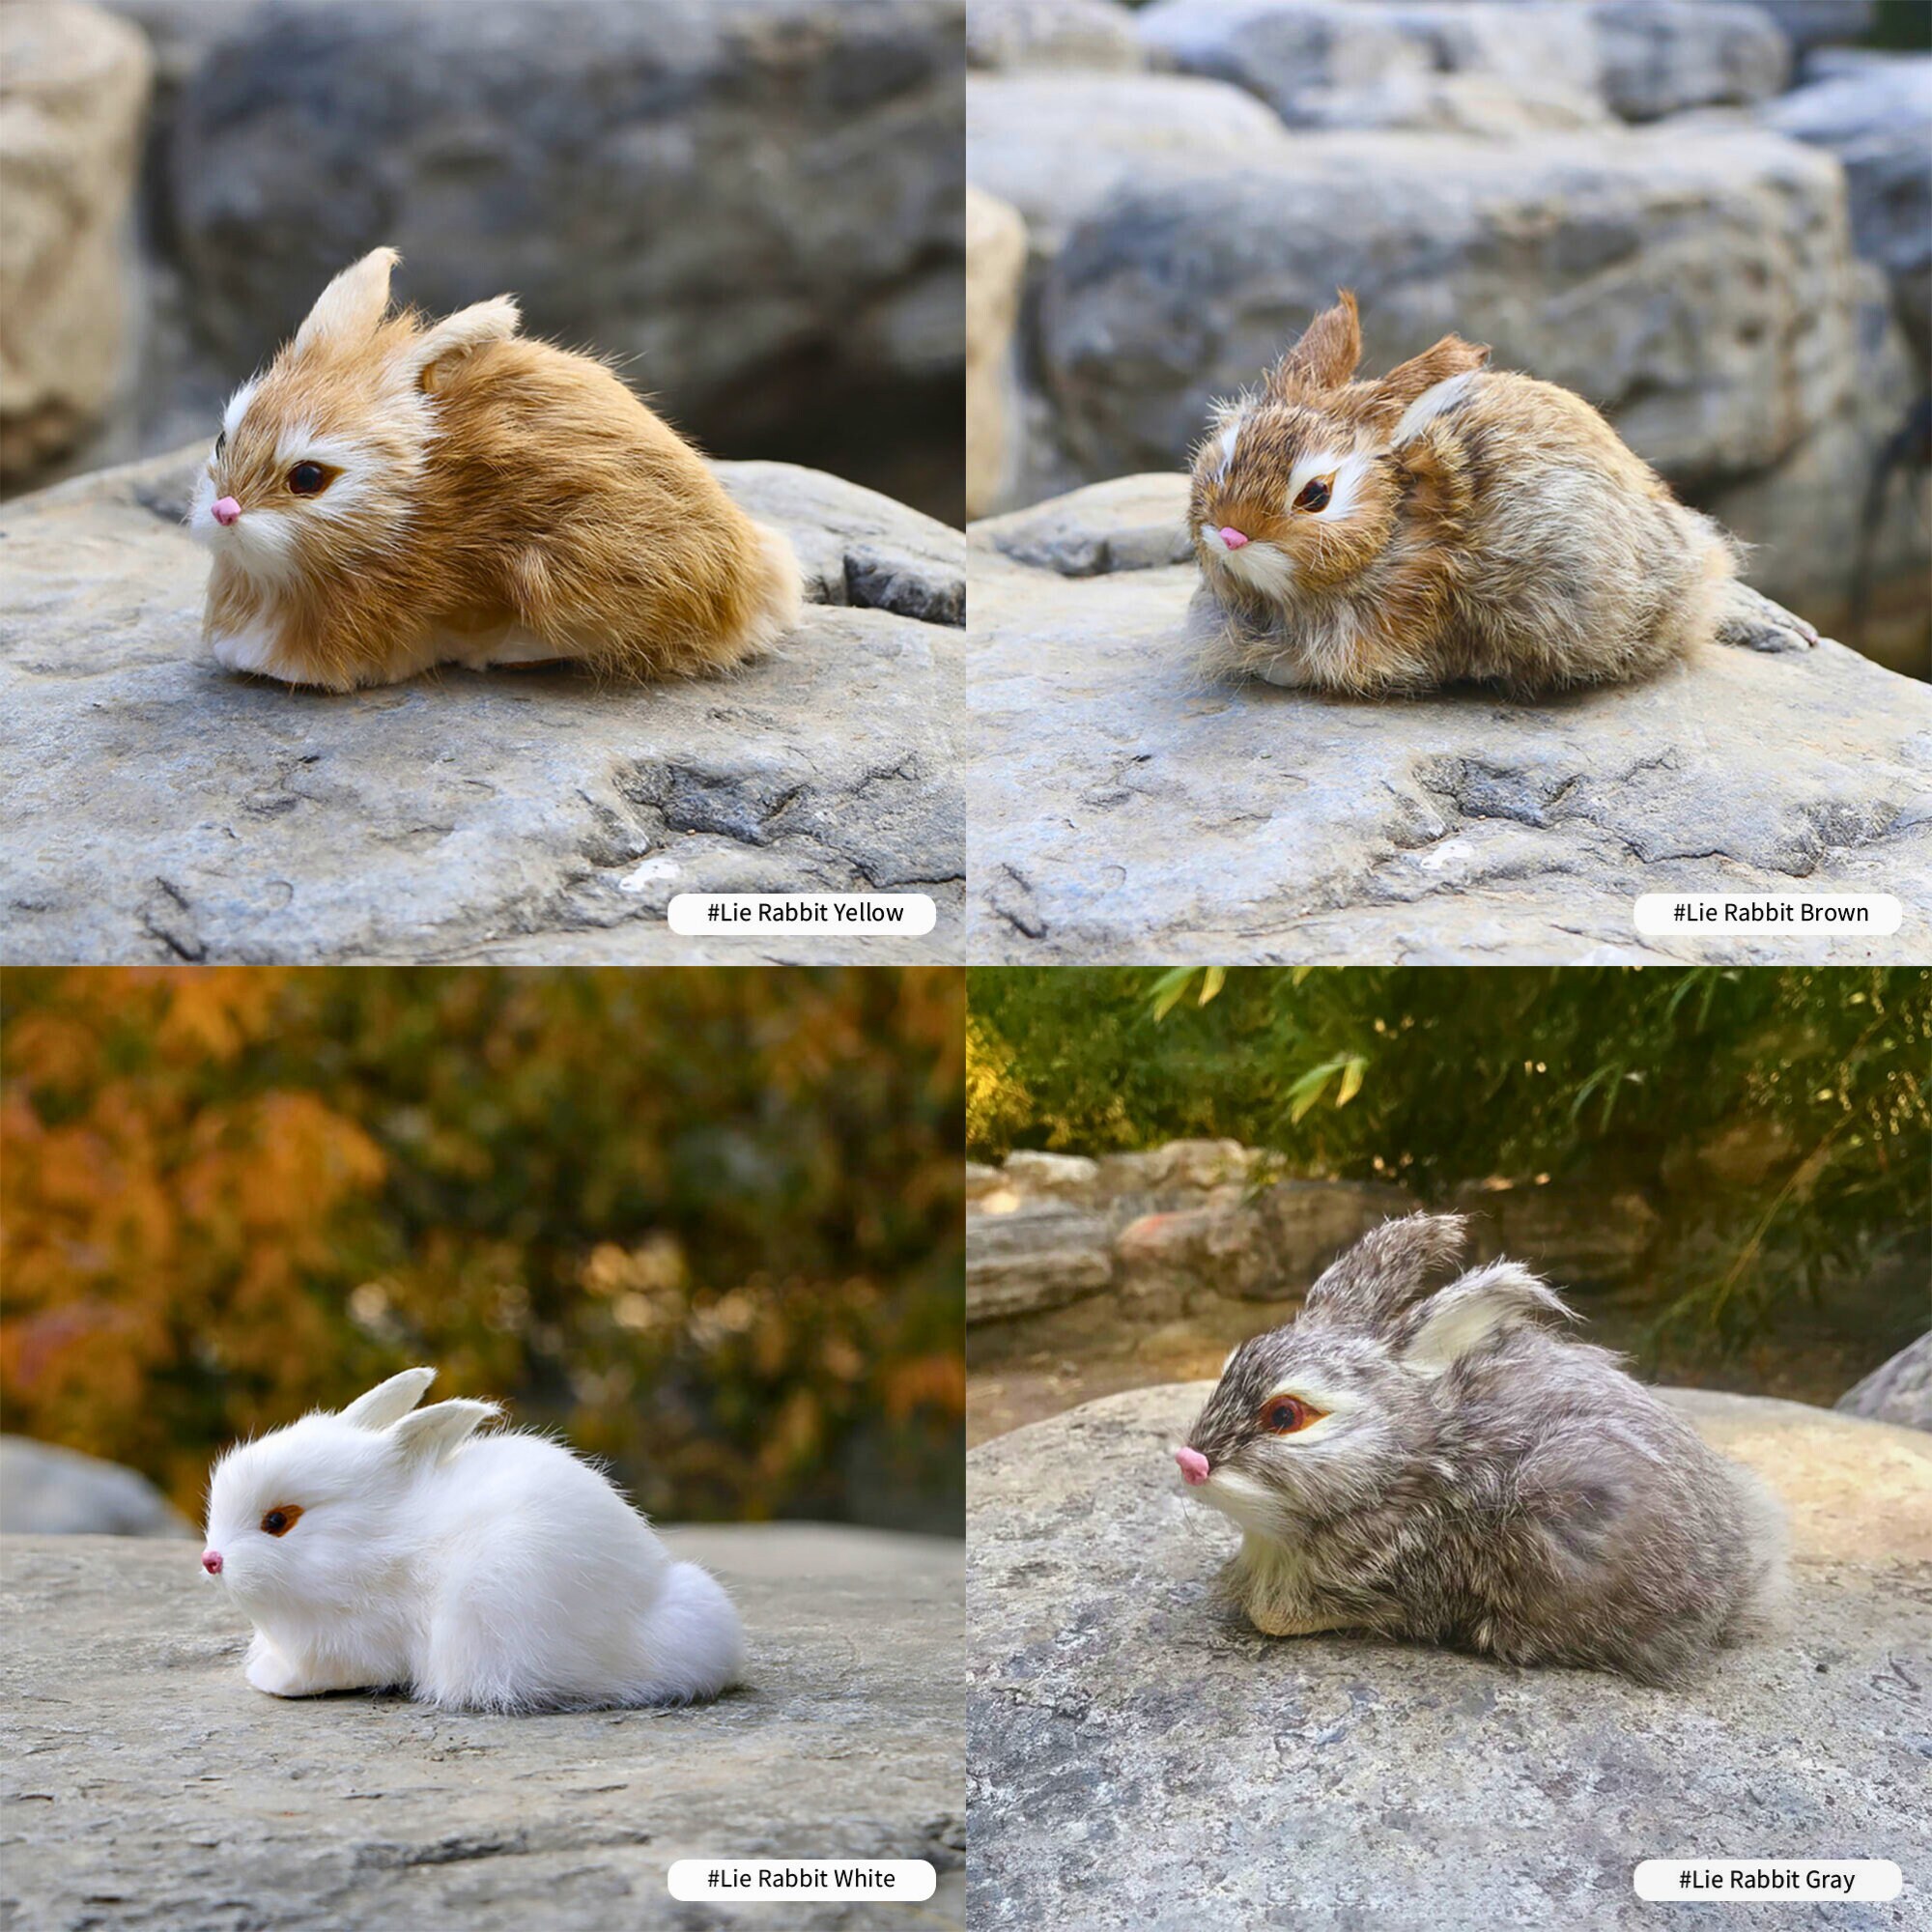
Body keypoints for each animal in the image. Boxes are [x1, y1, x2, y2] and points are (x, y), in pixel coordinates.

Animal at [188, 248, 802, 693]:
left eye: (308, 479)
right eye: (222, 440)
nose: (224, 511)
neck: (401, 515)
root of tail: (752, 588)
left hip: (561, 575)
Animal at [1173, 1213, 1789, 1684]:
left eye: (1285, 1415)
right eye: (1227, 1369)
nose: (1190, 1461)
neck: (1402, 1464)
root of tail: (1741, 1577)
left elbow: (1275, 1618)